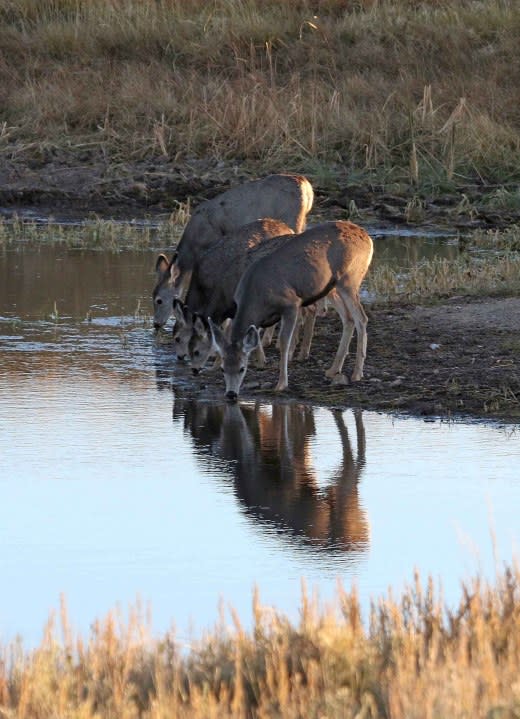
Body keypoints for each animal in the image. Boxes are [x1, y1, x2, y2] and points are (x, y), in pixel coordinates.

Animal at [208, 219, 374, 400]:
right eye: (223, 369)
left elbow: (283, 341)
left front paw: (281, 383)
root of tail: (367, 238)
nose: (231, 394)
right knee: (348, 318)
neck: (256, 295)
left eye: (242, 368)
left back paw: (357, 373)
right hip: (333, 287)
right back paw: (333, 370)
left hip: (349, 278)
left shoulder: (291, 304)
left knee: (361, 318)